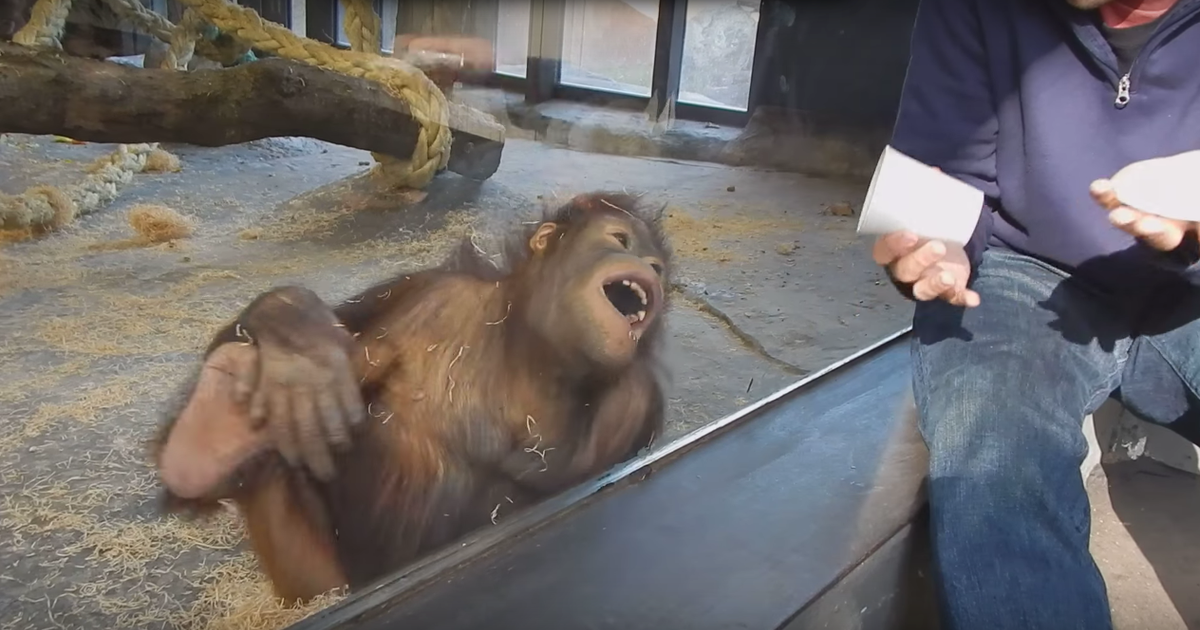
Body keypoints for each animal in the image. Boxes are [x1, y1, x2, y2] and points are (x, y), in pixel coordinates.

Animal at [152, 192, 672, 603]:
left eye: (656, 267)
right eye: (620, 240)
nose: (649, 272)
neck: (532, 345)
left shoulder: (636, 398)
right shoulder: (422, 288)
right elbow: (349, 330)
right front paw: (295, 335)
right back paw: (214, 427)